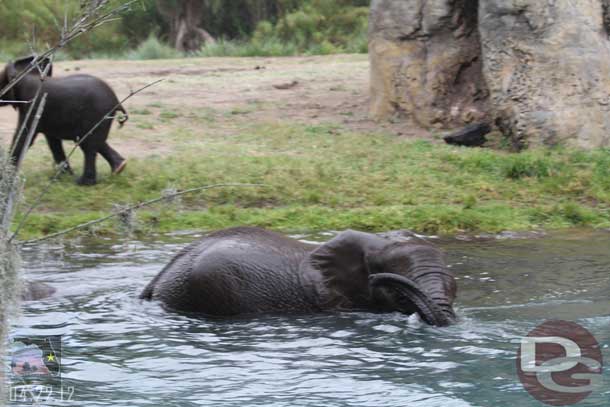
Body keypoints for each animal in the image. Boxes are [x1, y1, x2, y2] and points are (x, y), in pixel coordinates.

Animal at [0, 55, 127, 185]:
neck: (22, 75)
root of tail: (117, 101)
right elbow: (52, 141)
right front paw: (63, 176)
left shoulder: (33, 105)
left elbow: (23, 137)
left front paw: (5, 178)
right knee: (93, 141)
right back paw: (119, 168)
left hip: (97, 112)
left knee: (88, 145)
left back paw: (83, 183)